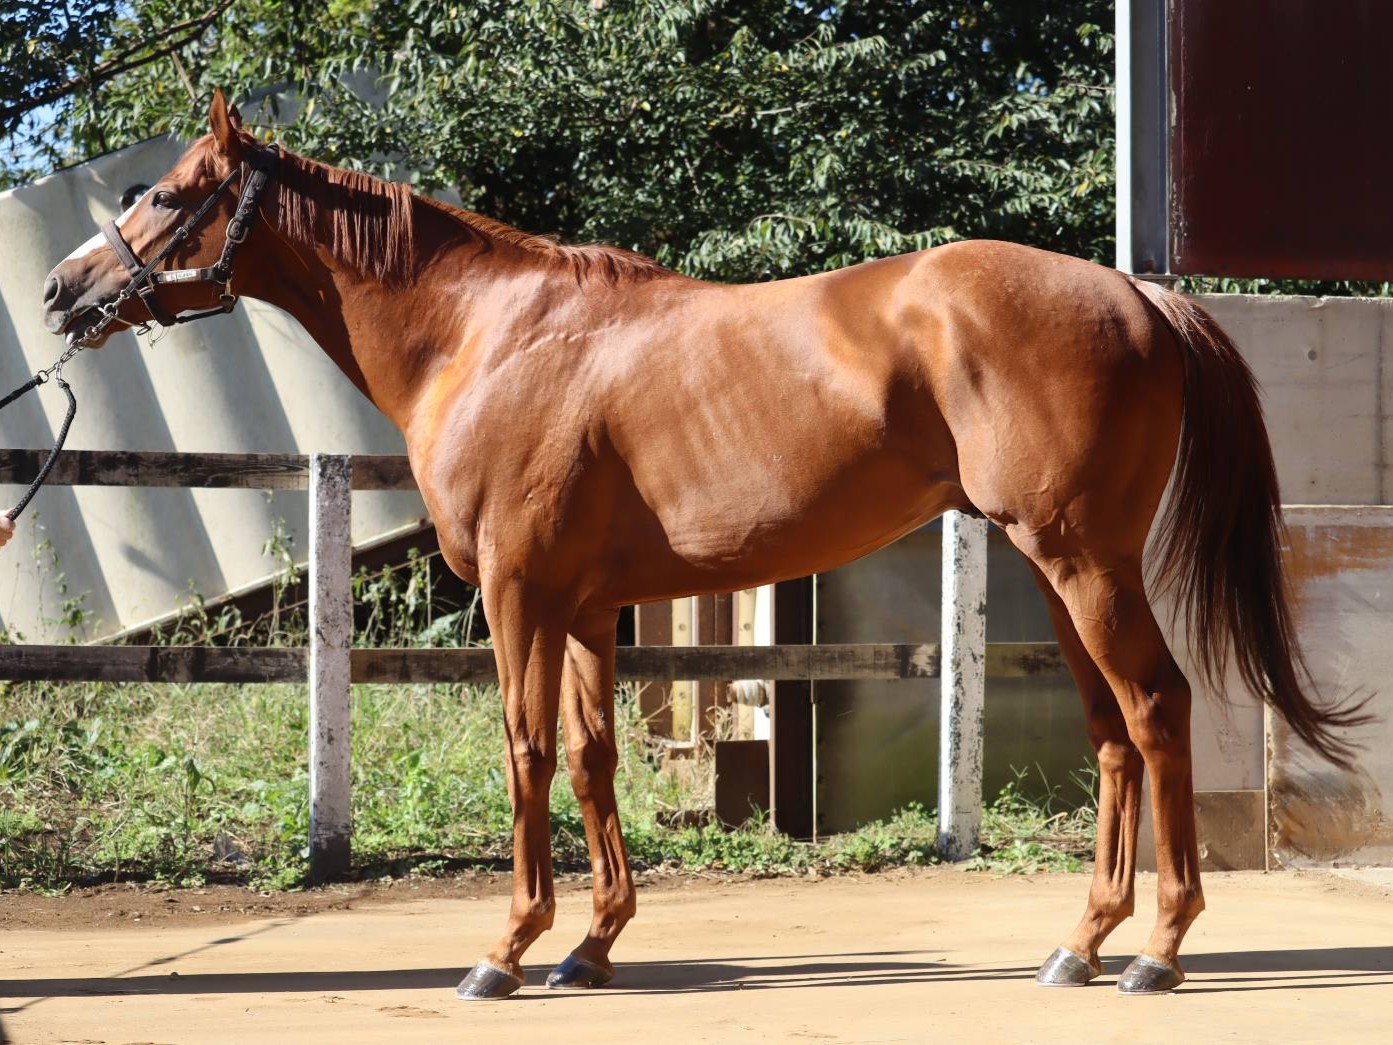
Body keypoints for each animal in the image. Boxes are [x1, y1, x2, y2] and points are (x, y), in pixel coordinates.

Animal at [40, 91, 1363, 999]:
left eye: (171, 194)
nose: (60, 291)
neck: (490, 334)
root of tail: (1139, 294)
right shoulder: (585, 608)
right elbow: (590, 759)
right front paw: (589, 944)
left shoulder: (519, 596)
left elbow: (524, 753)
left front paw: (504, 949)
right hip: (1057, 567)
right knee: (1111, 732)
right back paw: (1080, 942)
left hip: (1085, 564)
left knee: (1155, 708)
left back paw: (1158, 949)